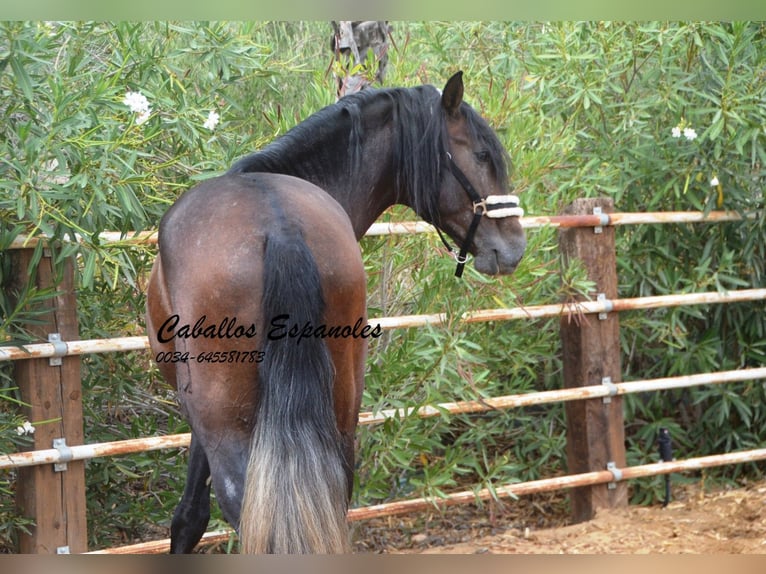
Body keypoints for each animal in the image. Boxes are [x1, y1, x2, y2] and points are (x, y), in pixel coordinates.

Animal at [146, 71, 524, 552]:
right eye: (481, 155)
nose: (514, 247)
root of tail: (280, 226)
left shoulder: (199, 417)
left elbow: (190, 517)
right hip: (340, 409)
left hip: (228, 422)